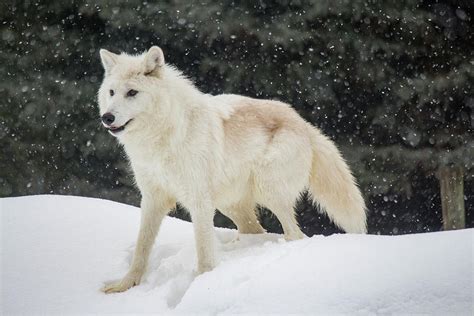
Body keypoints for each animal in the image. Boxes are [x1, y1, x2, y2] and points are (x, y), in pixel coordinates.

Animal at [98, 45, 368, 292]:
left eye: (132, 92)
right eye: (111, 92)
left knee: (294, 234)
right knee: (255, 230)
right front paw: (125, 285)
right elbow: (141, 247)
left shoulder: (199, 201)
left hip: (268, 191)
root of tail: (303, 123)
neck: (162, 137)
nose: (106, 117)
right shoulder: (152, 198)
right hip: (230, 205)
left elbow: (204, 251)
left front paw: (202, 286)